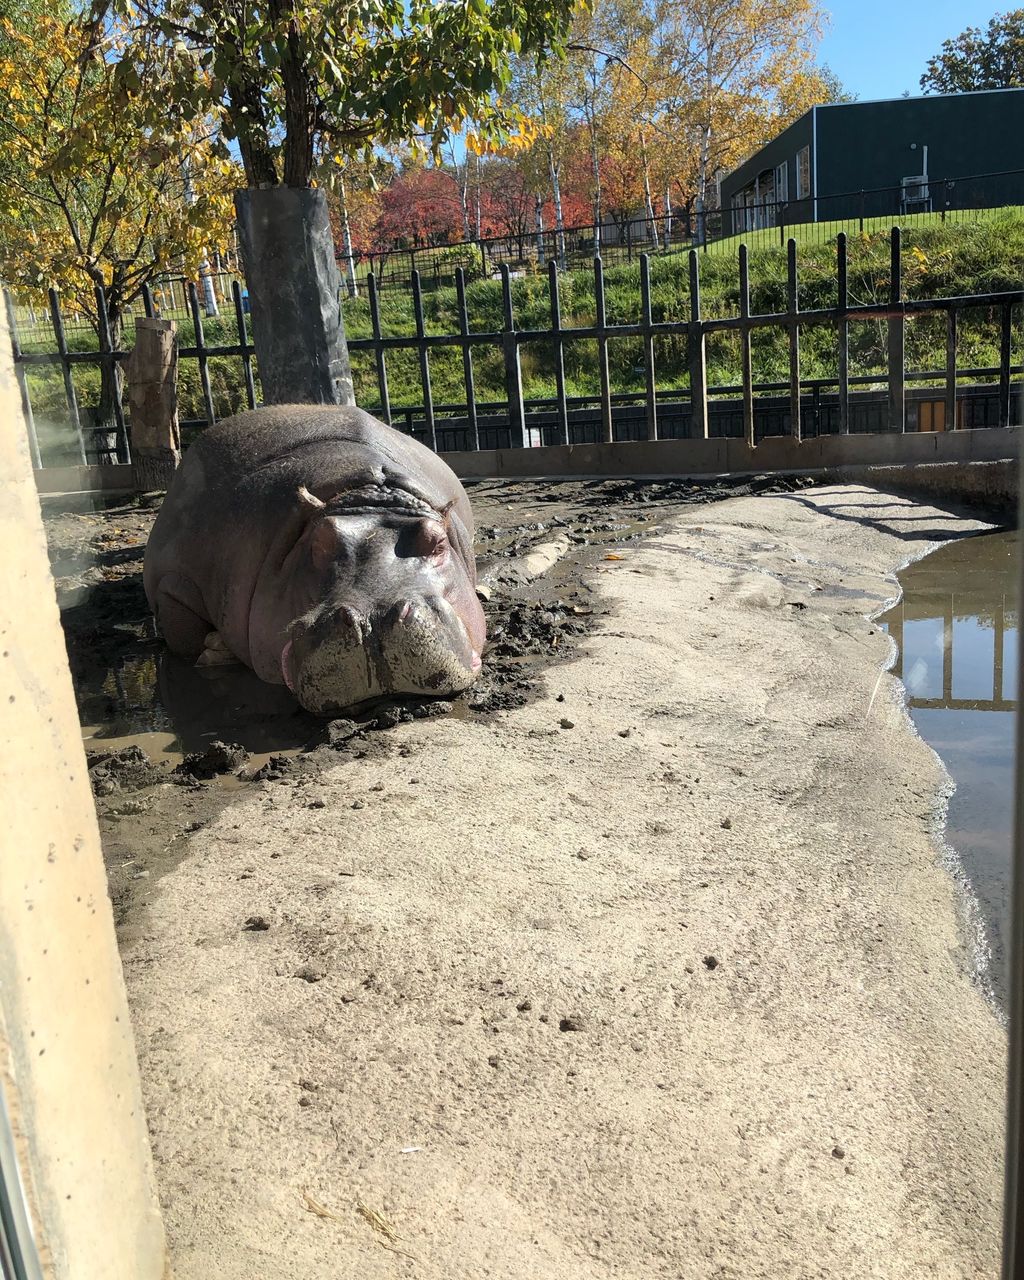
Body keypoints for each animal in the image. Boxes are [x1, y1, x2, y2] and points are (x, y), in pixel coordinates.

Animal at [142, 404, 488, 716]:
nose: (373, 619)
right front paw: (214, 649)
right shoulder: (173, 582)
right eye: (318, 542)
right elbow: (183, 633)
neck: (368, 493)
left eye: (437, 542)